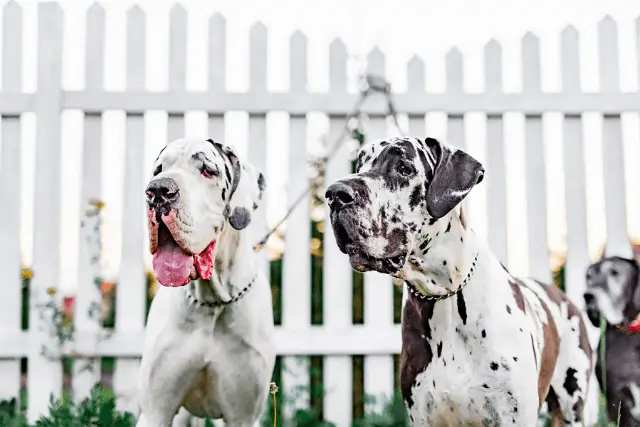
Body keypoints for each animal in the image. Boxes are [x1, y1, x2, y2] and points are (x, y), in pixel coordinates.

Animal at [135, 139, 276, 426]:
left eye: (208, 170)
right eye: (158, 170)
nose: (158, 190)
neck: (213, 302)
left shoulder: (243, 416)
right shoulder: (156, 411)